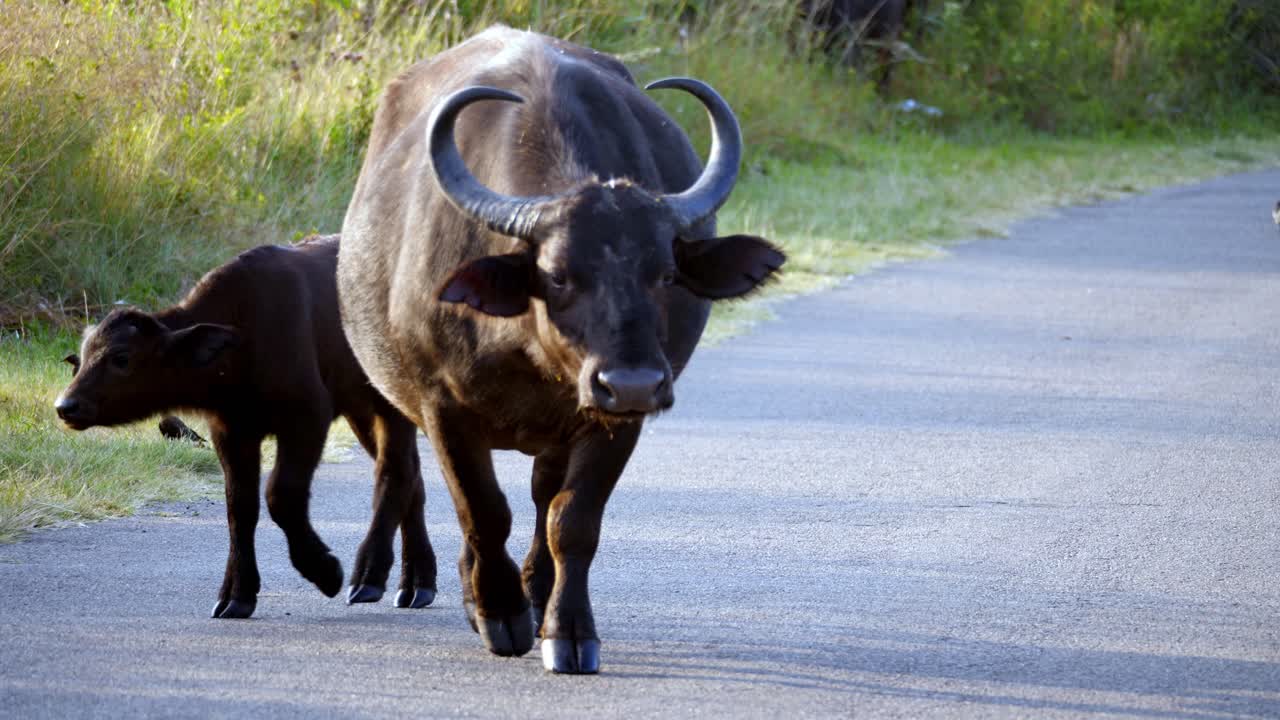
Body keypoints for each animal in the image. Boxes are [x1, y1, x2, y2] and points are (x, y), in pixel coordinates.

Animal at [55, 235, 437, 618]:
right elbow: (239, 507)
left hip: (391, 401)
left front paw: (325, 571)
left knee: (396, 472)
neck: (243, 338)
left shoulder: (307, 417)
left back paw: (369, 577)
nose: (65, 406)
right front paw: (237, 595)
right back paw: (417, 584)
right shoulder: (231, 431)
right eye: (83, 358)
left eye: (122, 358)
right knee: (415, 479)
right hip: (360, 408)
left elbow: (280, 494)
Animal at [338, 26, 785, 673]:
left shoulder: (614, 420)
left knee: (540, 496)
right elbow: (482, 510)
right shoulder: (444, 406)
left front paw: (564, 629)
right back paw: (394, 577)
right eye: (557, 275)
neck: (531, 354)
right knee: (401, 470)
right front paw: (499, 614)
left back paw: (531, 590)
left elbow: (570, 520)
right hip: (388, 389)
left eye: (666, 273)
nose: (630, 382)